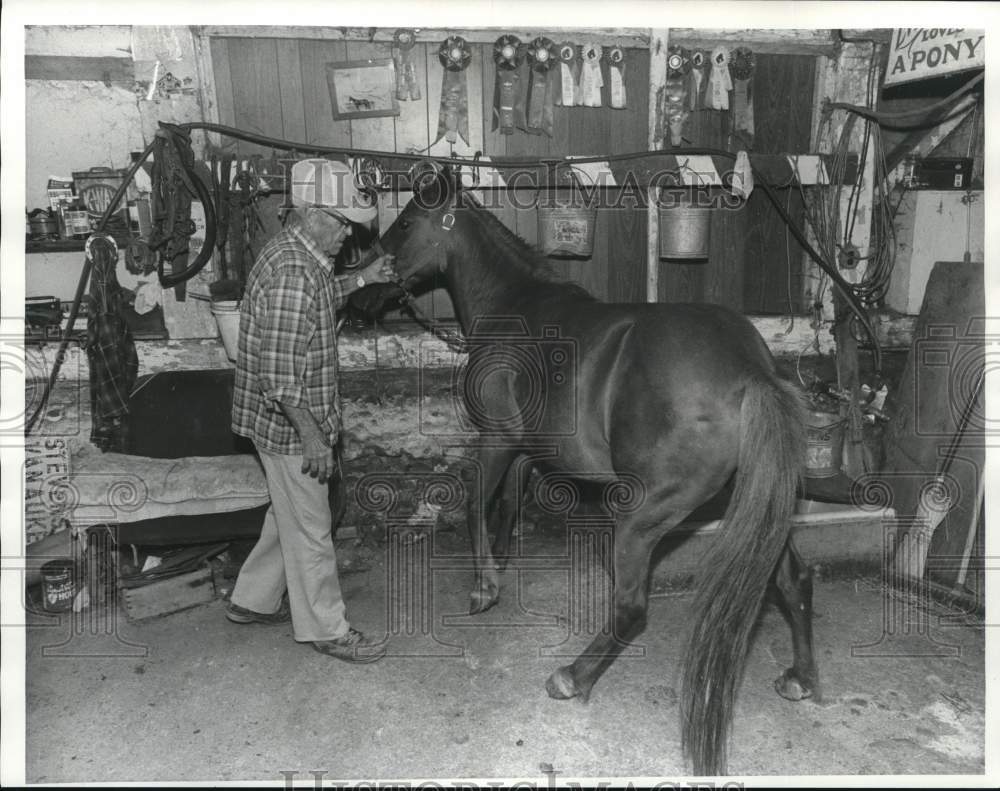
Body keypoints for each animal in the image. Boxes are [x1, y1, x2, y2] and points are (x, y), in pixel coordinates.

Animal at [376, 176, 820, 776]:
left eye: (404, 223)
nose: (371, 269)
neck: (515, 308)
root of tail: (751, 370)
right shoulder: (527, 452)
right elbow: (505, 508)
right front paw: (497, 567)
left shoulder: (497, 439)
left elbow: (473, 502)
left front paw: (484, 585)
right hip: (753, 504)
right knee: (792, 580)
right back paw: (801, 677)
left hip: (638, 517)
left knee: (630, 608)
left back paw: (572, 676)